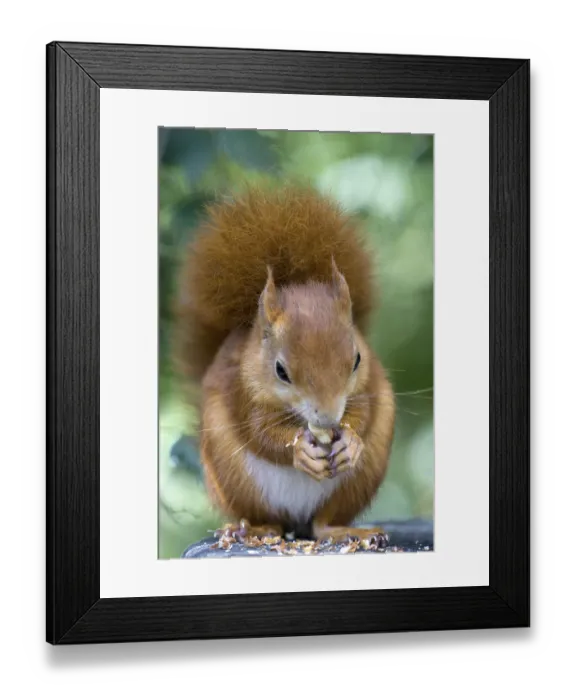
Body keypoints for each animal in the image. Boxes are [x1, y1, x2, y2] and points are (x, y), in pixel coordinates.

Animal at [173, 184, 396, 545]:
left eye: (357, 360)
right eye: (281, 371)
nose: (328, 419)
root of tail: (297, 521)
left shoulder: (368, 383)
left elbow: (364, 412)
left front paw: (349, 440)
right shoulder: (241, 391)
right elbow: (260, 432)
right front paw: (298, 449)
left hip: (359, 479)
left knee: (322, 525)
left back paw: (346, 529)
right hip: (235, 481)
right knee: (272, 522)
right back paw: (252, 529)